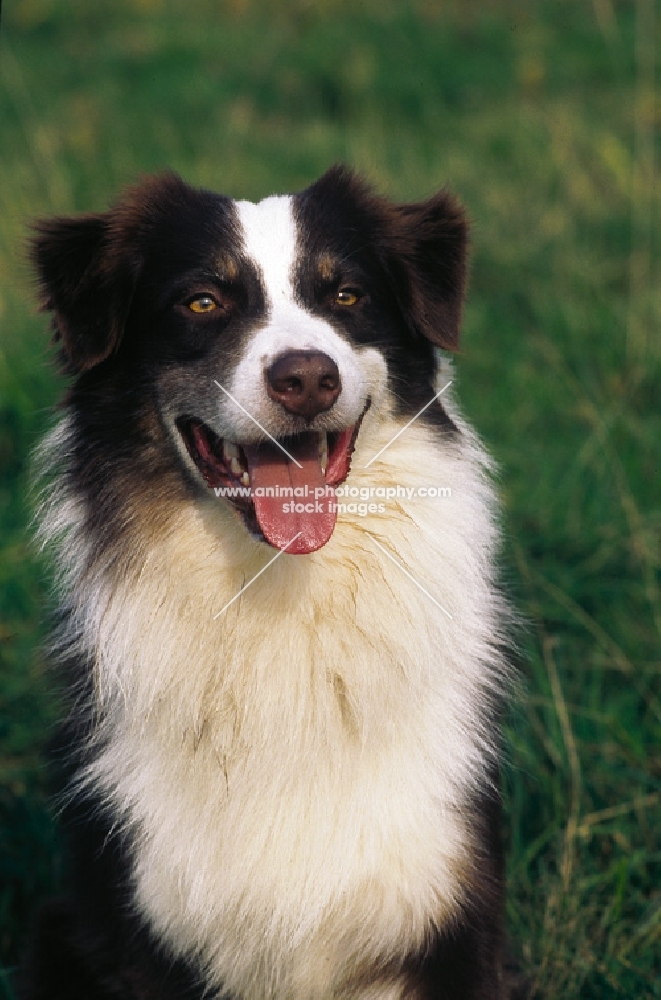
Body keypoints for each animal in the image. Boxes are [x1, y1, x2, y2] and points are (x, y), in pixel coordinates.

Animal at [23, 170, 510, 1000]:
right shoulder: (141, 919)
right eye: (201, 302)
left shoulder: (444, 905)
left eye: (346, 295)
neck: (280, 590)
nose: (307, 378)